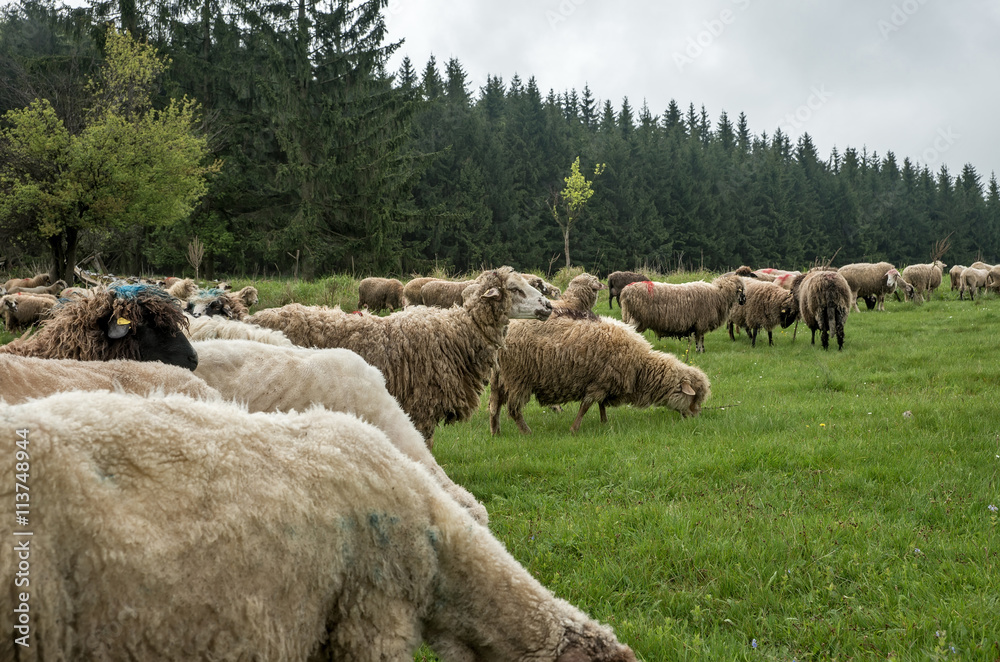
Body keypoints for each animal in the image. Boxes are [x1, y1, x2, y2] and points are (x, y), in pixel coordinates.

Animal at [490, 315, 710, 434]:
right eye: (693, 398)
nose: (696, 417)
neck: (640, 367)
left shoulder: (605, 381)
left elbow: (601, 404)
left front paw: (604, 423)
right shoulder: (598, 383)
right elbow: (586, 406)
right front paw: (574, 429)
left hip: (499, 377)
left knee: (494, 406)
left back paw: (495, 432)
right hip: (518, 377)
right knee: (513, 410)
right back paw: (526, 432)